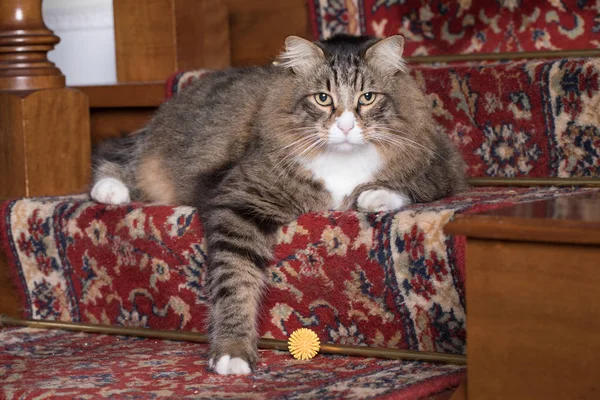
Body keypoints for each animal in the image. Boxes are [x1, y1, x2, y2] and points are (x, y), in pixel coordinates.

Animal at [90, 34, 468, 376]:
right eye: (323, 98)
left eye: (367, 97)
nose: (346, 126)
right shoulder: (239, 202)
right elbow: (236, 280)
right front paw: (232, 352)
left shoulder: (443, 165)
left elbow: (406, 186)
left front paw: (373, 197)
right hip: (155, 158)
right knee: (121, 161)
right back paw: (109, 191)